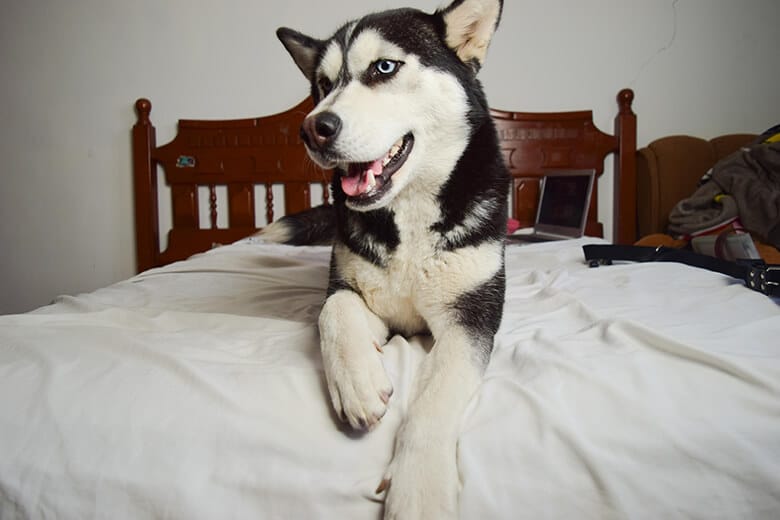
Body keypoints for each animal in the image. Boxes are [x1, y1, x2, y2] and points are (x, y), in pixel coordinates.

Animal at [268, 0, 508, 516]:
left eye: (384, 68)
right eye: (323, 84)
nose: (312, 128)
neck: (411, 213)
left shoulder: (471, 319)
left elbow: (435, 397)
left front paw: (419, 490)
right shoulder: (352, 286)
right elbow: (333, 311)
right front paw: (356, 382)